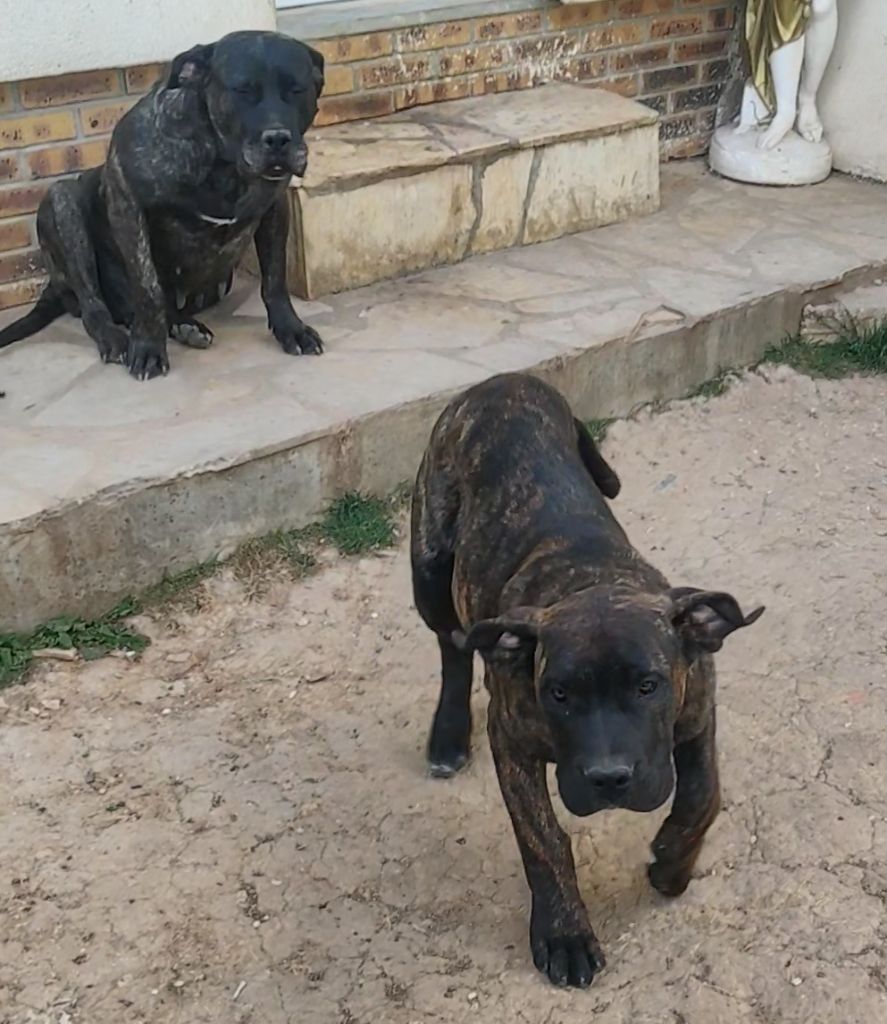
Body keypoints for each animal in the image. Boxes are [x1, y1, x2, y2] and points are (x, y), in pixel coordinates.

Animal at [0, 31, 325, 380]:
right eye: (243, 91)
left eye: (296, 90)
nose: (278, 139)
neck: (223, 165)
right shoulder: (126, 201)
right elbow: (148, 287)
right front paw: (147, 349)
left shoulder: (275, 207)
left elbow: (275, 280)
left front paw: (292, 329)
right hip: (62, 202)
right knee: (94, 305)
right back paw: (118, 337)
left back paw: (185, 327)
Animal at [411, 373, 764, 988]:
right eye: (559, 695)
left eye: (648, 686)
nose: (608, 779)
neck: (591, 580)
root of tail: (506, 381)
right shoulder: (512, 741)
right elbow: (543, 840)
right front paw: (564, 933)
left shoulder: (698, 709)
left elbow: (704, 792)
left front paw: (673, 861)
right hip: (429, 566)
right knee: (453, 648)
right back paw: (448, 737)